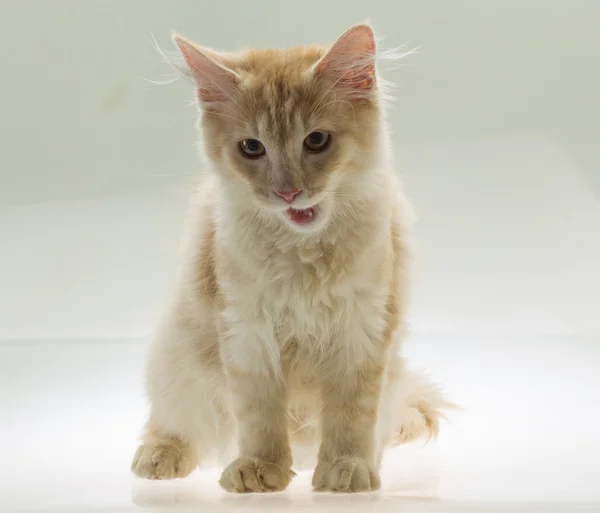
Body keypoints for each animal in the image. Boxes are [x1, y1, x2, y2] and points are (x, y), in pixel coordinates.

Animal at [131, 23, 450, 492]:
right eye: (251, 147)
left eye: (316, 140)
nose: (287, 192)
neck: (304, 256)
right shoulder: (246, 331)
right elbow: (259, 415)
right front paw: (259, 470)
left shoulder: (362, 330)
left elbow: (352, 415)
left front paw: (347, 470)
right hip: (177, 359)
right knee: (173, 424)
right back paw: (159, 457)